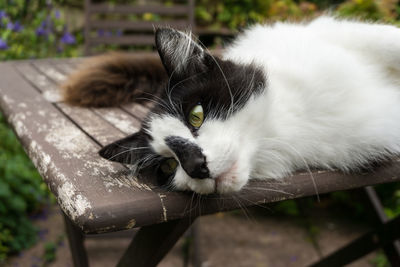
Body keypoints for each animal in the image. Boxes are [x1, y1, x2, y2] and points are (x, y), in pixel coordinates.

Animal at [62, 16, 400, 196]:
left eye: (196, 116)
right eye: (169, 165)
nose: (196, 166)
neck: (289, 127)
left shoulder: (333, 33)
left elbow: (389, 41)